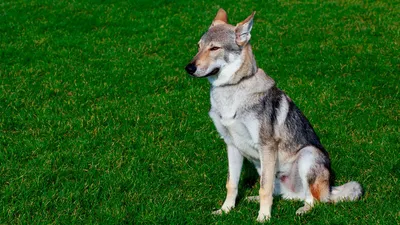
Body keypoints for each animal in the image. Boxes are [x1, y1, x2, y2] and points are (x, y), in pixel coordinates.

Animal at [184, 8, 362, 221]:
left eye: (214, 48)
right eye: (199, 46)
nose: (189, 68)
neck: (231, 90)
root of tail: (329, 189)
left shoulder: (266, 146)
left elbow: (264, 189)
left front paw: (263, 218)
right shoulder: (232, 145)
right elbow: (232, 184)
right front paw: (225, 210)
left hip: (308, 155)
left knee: (315, 200)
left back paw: (302, 210)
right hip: (263, 166)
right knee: (284, 194)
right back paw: (252, 199)